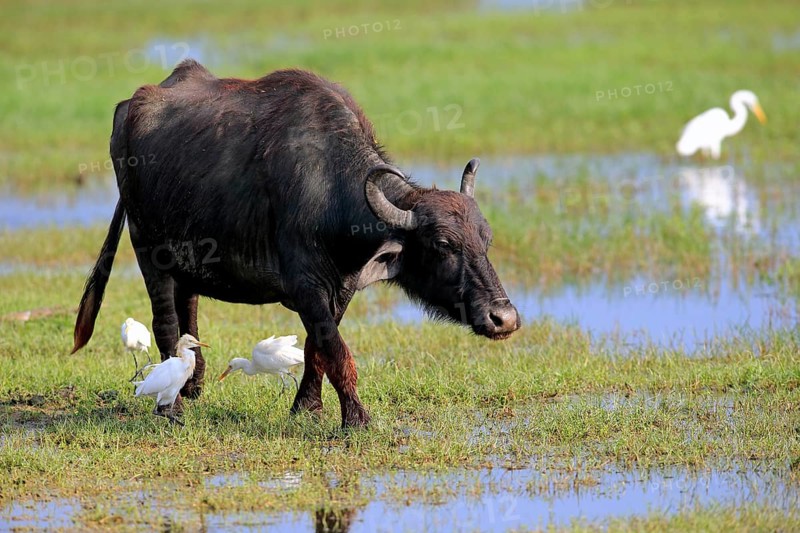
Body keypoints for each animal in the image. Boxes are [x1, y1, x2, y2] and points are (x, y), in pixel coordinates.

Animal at [72, 60, 520, 427]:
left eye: (486, 240)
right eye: (443, 244)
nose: (505, 318)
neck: (329, 190)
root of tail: (130, 107)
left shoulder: (340, 289)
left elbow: (315, 348)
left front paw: (307, 406)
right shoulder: (307, 286)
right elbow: (337, 352)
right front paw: (356, 419)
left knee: (190, 309)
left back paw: (193, 386)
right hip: (150, 252)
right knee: (165, 323)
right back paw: (172, 406)